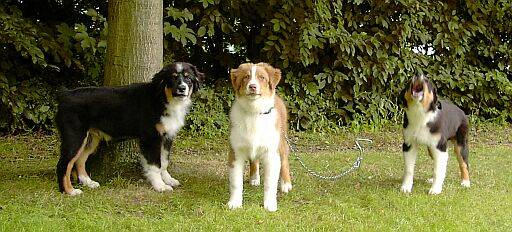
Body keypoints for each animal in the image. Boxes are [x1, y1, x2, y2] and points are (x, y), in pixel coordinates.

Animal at [55, 62, 204, 196]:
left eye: (188, 78)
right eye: (173, 78)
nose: (182, 88)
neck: (162, 98)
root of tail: (65, 95)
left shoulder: (167, 137)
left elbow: (164, 161)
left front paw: (168, 179)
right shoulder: (151, 137)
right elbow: (156, 164)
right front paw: (160, 185)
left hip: (91, 139)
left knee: (80, 160)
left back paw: (88, 182)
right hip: (75, 136)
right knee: (64, 164)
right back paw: (70, 191)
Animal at [228, 62, 292, 212]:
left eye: (262, 77)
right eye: (246, 77)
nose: (252, 86)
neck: (254, 112)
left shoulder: (271, 154)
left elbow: (270, 184)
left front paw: (270, 205)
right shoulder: (235, 152)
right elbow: (236, 182)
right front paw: (234, 203)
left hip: (282, 141)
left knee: (285, 161)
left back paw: (286, 184)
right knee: (254, 160)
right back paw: (254, 178)